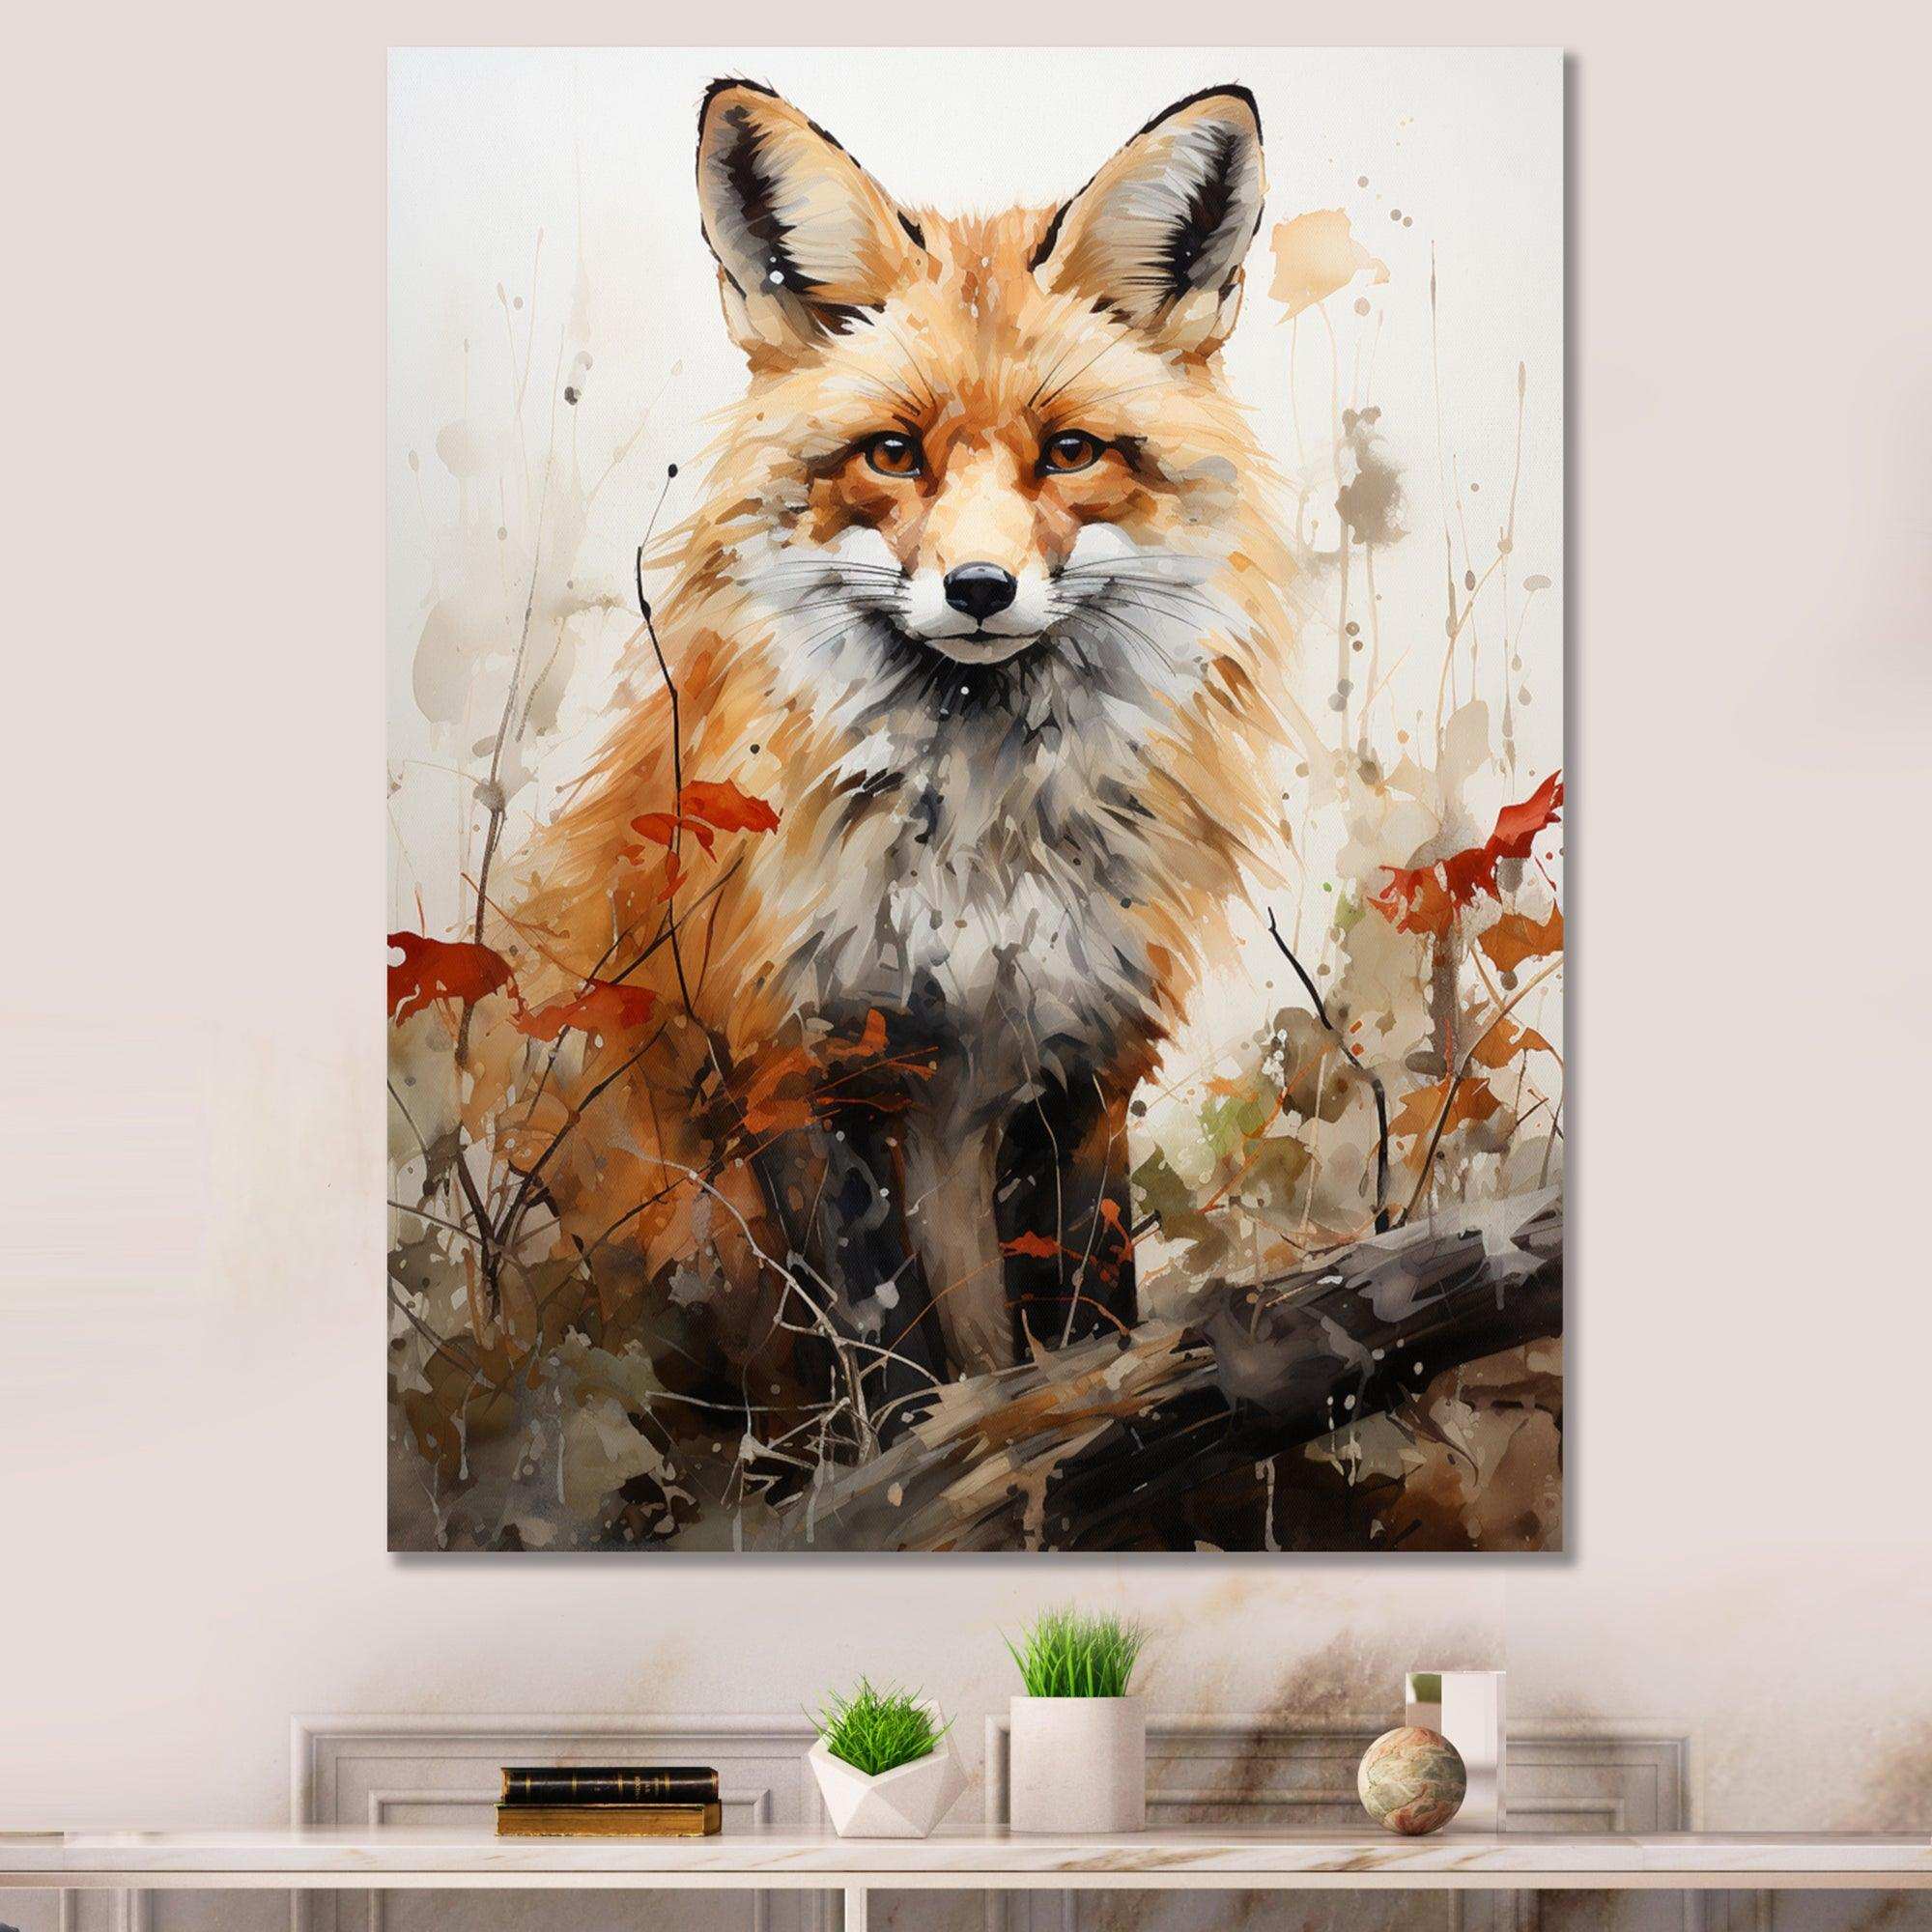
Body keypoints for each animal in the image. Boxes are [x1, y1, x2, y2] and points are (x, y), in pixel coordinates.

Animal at [501, 78, 1304, 1437]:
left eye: (1071, 451)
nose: (978, 588)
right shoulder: (797, 1062)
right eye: (891, 453)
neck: (979, 851)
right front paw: (909, 1459)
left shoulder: (1082, 1057)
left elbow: (1085, 1316)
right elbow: (885, 1355)